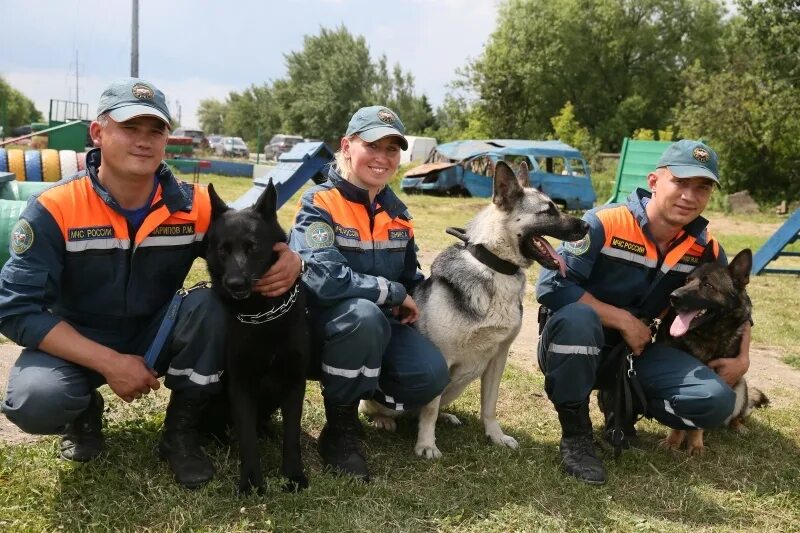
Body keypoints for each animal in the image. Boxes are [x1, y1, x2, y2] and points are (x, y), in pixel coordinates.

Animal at [206, 181, 310, 492]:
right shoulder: (240, 384)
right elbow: (247, 439)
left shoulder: (294, 381)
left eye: (252, 247)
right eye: (223, 250)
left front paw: (294, 475)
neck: (264, 314)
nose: (235, 284)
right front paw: (251, 481)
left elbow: (292, 436)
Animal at [664, 248, 768, 454]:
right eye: (687, 280)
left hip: (740, 388)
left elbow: (697, 423)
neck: (708, 335)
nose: (673, 296)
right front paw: (674, 440)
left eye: (707, 285)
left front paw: (695, 444)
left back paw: (738, 426)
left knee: (737, 416)